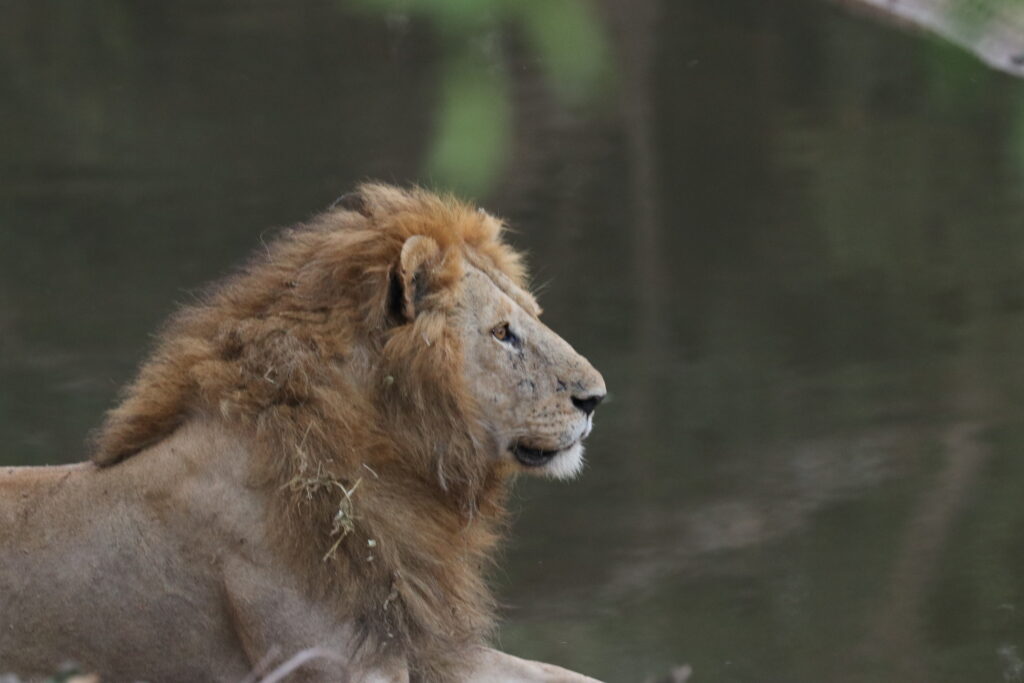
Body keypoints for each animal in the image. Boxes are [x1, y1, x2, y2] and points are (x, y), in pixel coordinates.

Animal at [0, 185, 606, 683]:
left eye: (531, 316)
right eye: (502, 333)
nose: (596, 397)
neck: (392, 474)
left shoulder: (424, 645)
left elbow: (567, 674)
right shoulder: (334, 663)